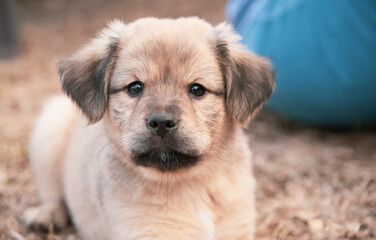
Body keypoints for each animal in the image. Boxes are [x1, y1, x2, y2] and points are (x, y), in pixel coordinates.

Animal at [22, 17, 274, 240]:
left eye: (197, 89)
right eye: (135, 87)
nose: (161, 122)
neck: (191, 185)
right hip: (50, 127)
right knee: (53, 194)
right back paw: (45, 215)